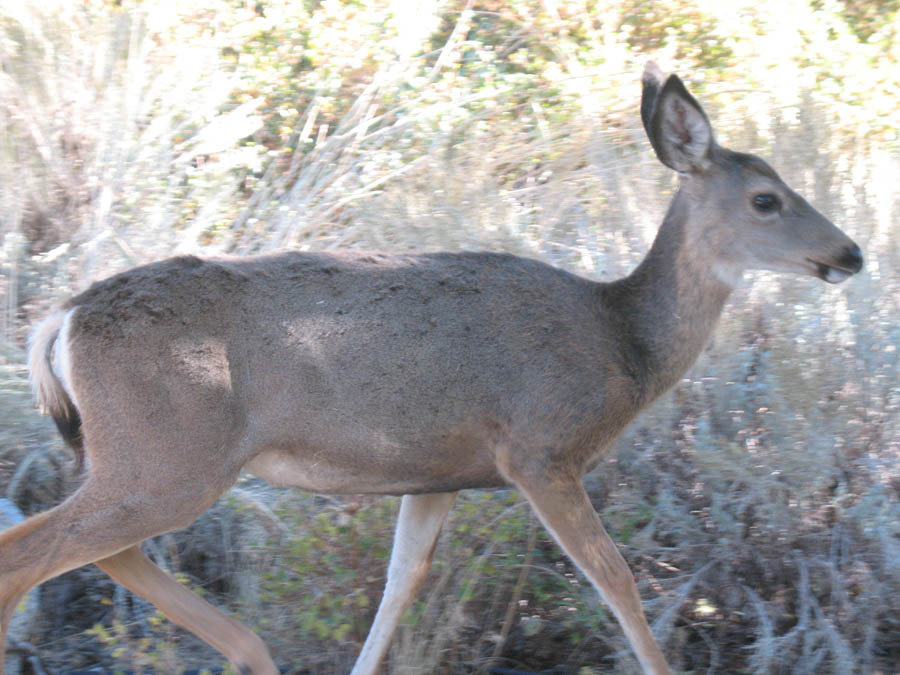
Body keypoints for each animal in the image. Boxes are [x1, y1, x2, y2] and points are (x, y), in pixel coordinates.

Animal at [0, 64, 864, 675]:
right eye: (765, 199)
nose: (851, 252)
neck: (623, 340)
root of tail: (61, 319)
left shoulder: (434, 475)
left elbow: (399, 586)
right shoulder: (538, 448)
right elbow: (616, 577)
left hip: (144, 460)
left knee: (102, 551)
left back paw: (252, 651)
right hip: (168, 455)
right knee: (33, 551)